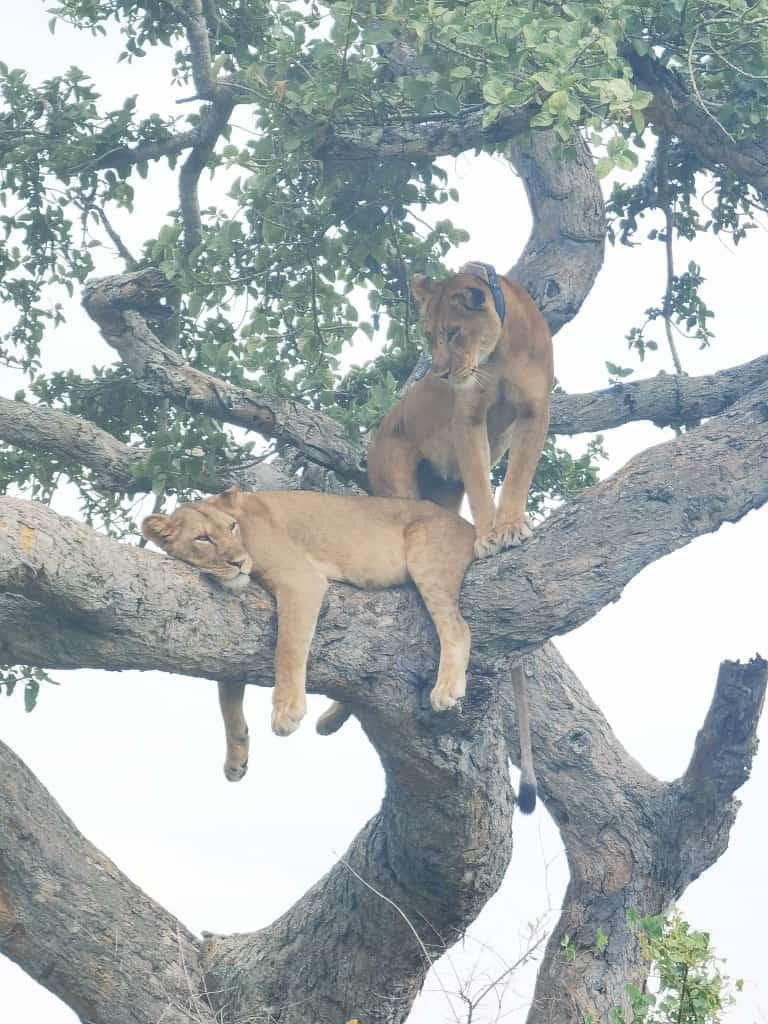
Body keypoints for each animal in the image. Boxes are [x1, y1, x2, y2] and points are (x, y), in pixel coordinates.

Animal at [366, 260, 552, 557]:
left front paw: (510, 526)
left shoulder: (533, 409)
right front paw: (487, 537)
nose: (440, 374)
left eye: (453, 333)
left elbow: (518, 476)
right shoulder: (468, 417)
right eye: (429, 335)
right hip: (396, 484)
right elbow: (478, 485)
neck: (499, 351)